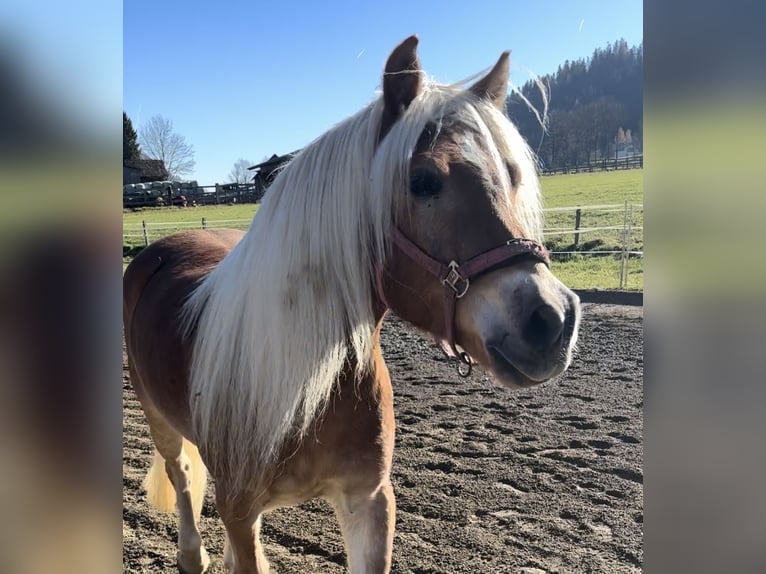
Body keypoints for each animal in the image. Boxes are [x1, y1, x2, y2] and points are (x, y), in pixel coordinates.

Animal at [123, 36, 584, 574]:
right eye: (423, 181)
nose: (552, 320)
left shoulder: (369, 501)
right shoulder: (238, 509)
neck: (308, 381)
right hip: (158, 419)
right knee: (178, 475)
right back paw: (191, 554)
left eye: (512, 176)